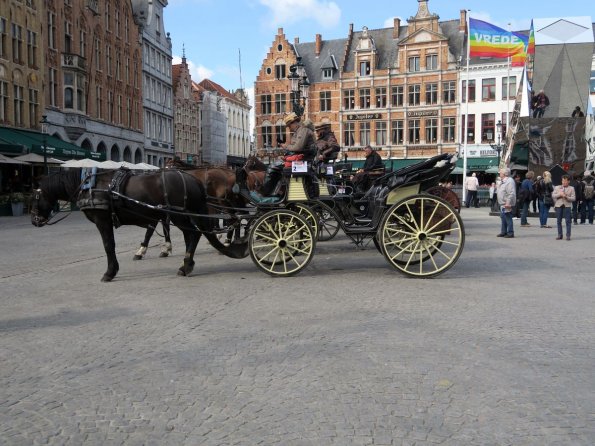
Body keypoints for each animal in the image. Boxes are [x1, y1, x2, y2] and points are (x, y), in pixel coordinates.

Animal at [31, 169, 246, 280]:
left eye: (35, 197)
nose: (34, 220)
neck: (89, 187)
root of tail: (193, 179)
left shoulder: (103, 220)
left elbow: (108, 245)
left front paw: (110, 272)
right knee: (192, 235)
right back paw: (187, 264)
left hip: (179, 215)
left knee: (194, 234)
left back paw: (186, 266)